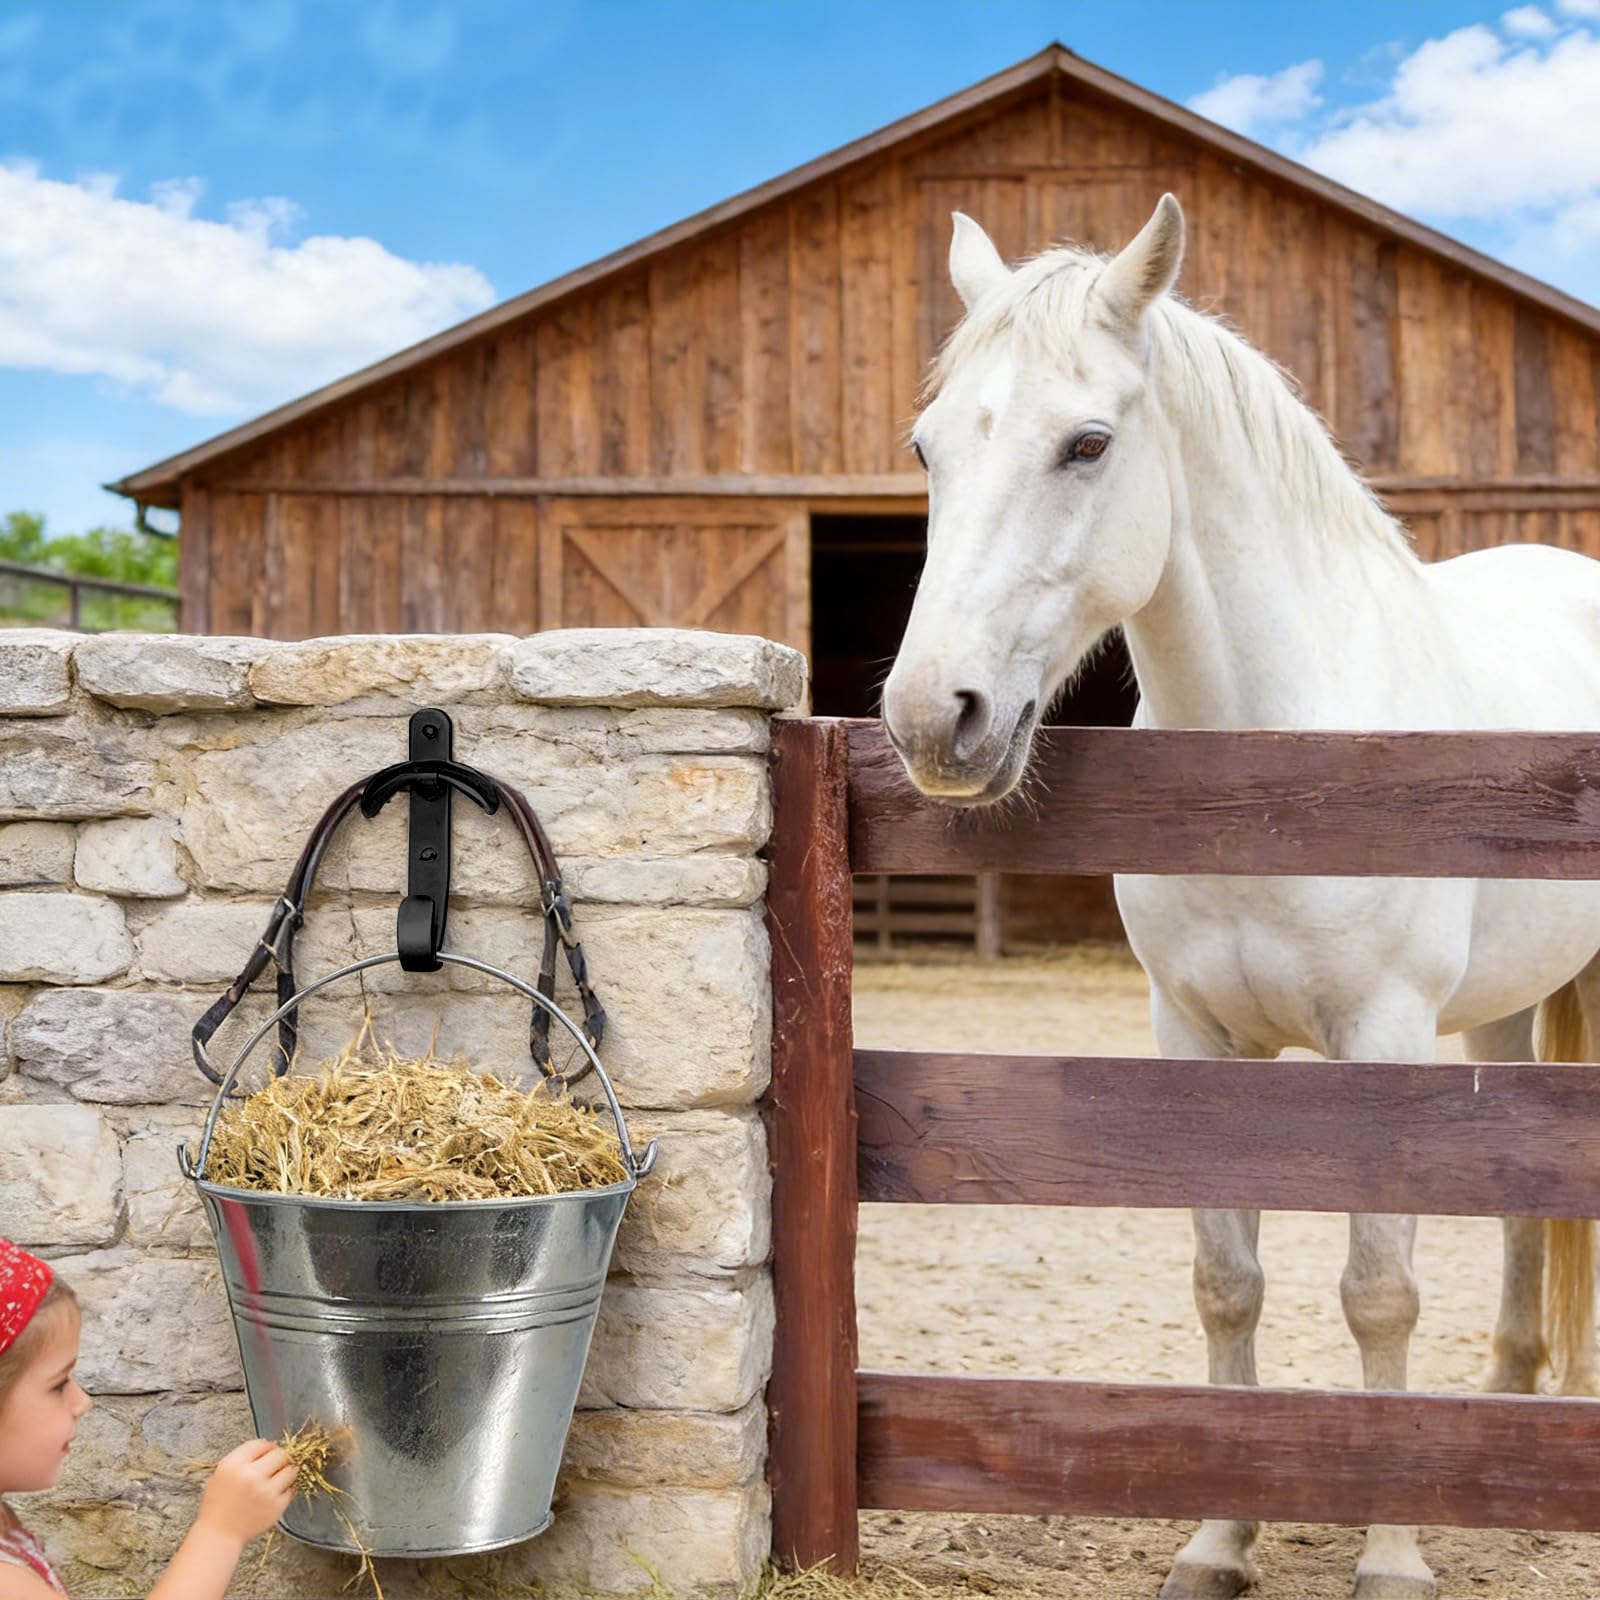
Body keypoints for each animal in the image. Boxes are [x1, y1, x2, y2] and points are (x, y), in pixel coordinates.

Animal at [880, 193, 1600, 1600]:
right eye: (928, 447)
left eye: (1086, 443)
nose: (934, 717)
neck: (1272, 771)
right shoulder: (1195, 1037)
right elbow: (1227, 1281)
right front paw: (1217, 1541)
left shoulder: (1382, 1042)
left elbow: (1378, 1290)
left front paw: (1392, 1555)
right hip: (1503, 1008)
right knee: (1517, 1196)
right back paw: (1502, 1423)